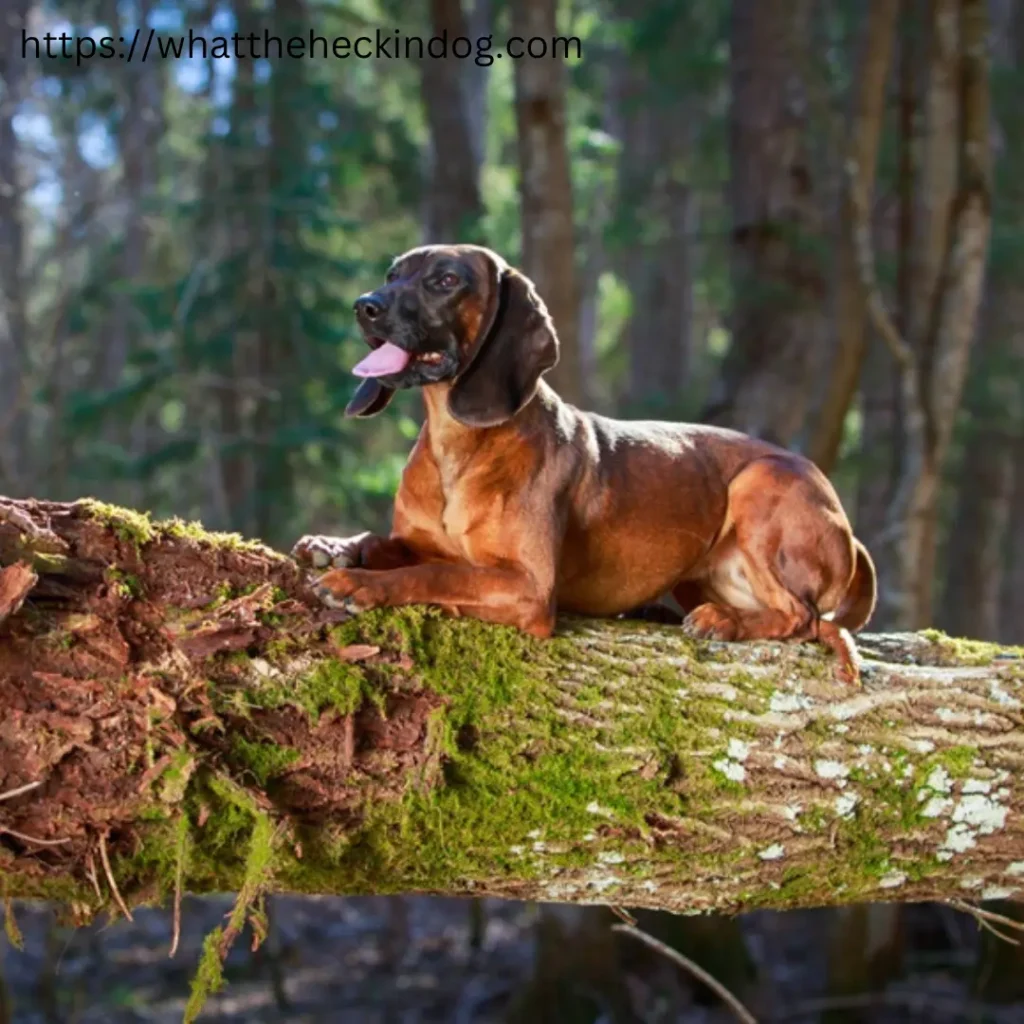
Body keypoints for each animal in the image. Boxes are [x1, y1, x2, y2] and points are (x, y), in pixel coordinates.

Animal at [292, 243, 876, 684]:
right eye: (392, 274)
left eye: (446, 279)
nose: (365, 305)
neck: (457, 443)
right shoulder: (416, 540)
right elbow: (387, 544)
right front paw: (336, 546)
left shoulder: (527, 588)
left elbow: (435, 573)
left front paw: (361, 585)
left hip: (761, 481)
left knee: (802, 617)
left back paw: (725, 620)